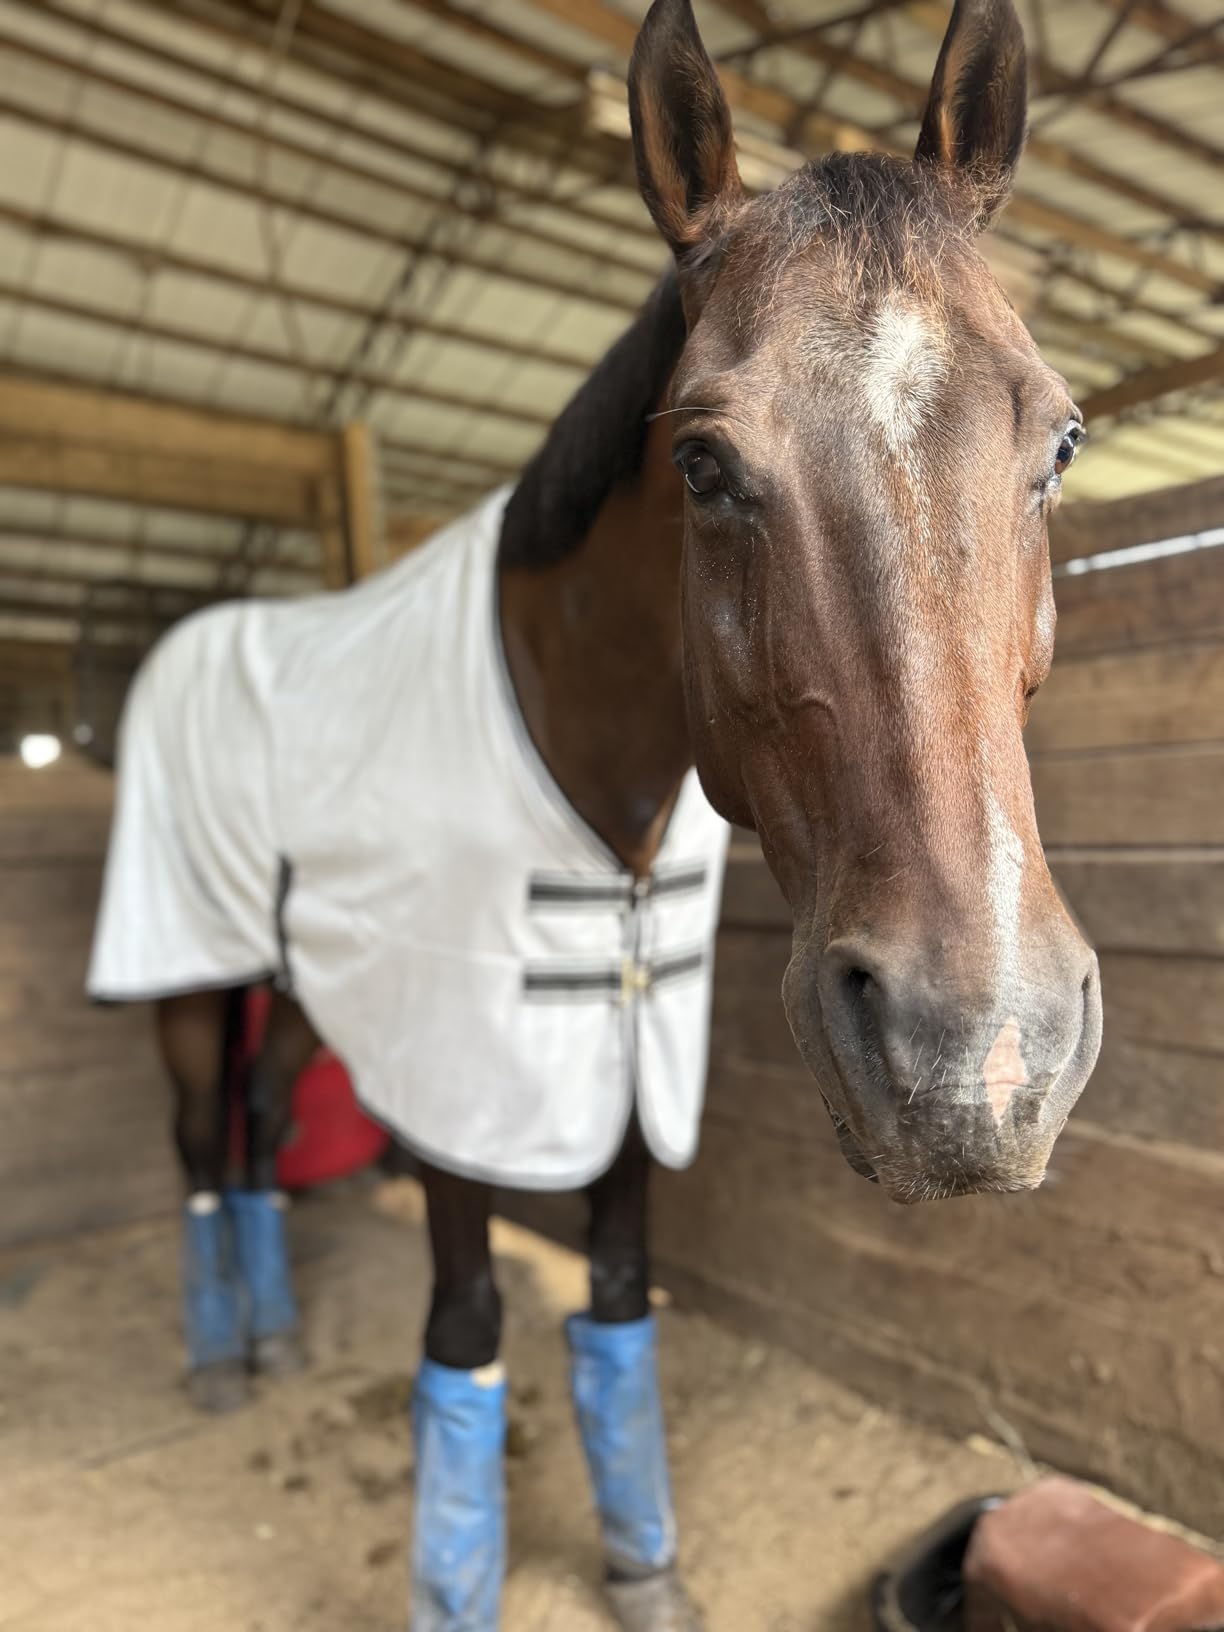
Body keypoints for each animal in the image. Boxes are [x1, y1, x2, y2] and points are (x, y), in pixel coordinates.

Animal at [87, 0, 1102, 1626]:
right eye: (702, 461)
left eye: (1059, 441)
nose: (982, 1061)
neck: (572, 738)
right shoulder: (467, 1066)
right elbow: (465, 1323)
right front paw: (455, 1584)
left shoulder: (624, 1049)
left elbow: (618, 1300)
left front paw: (642, 1560)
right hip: (190, 974)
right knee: (197, 1137)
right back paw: (219, 1352)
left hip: (303, 983)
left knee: (255, 1125)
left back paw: (275, 1329)